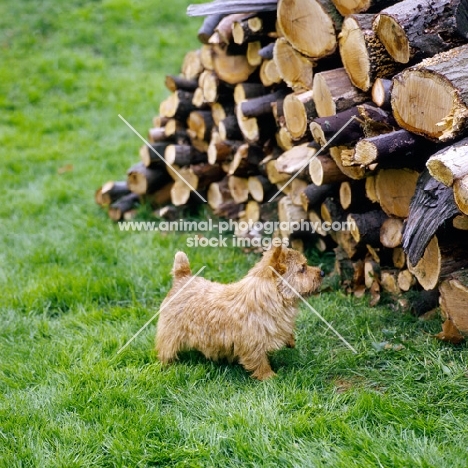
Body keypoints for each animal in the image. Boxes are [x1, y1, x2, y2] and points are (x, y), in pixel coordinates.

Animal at [155, 245, 324, 380]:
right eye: (302, 268)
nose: (322, 273)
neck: (269, 298)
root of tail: (183, 278)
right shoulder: (252, 344)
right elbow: (260, 362)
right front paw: (269, 377)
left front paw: (290, 339)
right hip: (170, 334)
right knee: (165, 350)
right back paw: (167, 366)